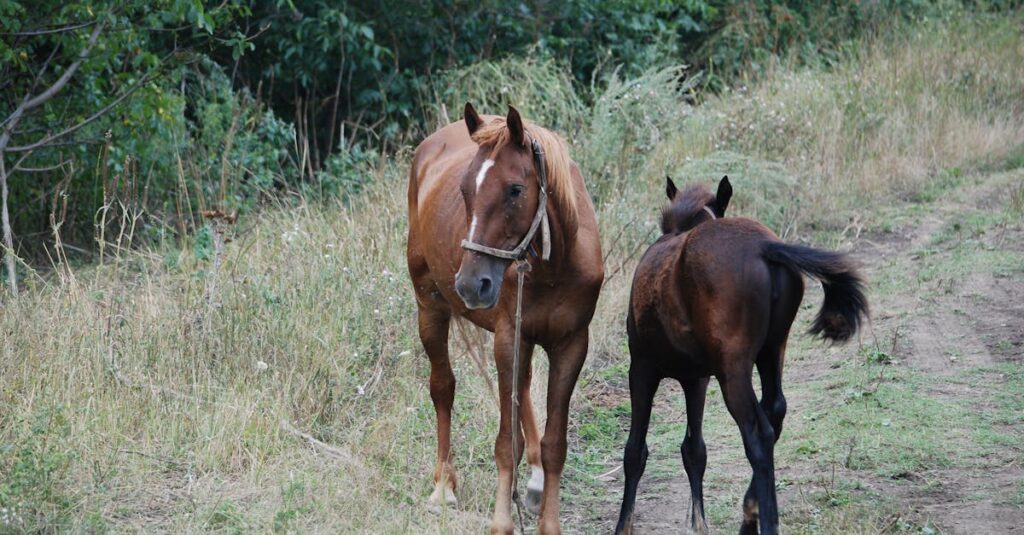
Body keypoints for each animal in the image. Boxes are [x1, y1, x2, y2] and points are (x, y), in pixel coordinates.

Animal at [406, 103, 603, 534]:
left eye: (514, 189)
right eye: (465, 189)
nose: (470, 283)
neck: (554, 266)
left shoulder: (571, 344)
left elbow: (555, 444)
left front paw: (549, 521)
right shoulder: (509, 338)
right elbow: (505, 443)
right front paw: (501, 522)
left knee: (524, 387)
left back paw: (534, 481)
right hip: (430, 306)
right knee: (443, 388)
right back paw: (443, 485)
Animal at [614, 176, 868, 535]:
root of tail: (764, 247)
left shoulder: (642, 369)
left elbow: (635, 452)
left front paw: (624, 526)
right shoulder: (697, 379)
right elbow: (694, 451)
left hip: (733, 370)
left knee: (758, 433)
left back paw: (765, 521)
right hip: (772, 350)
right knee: (775, 410)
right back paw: (750, 514)